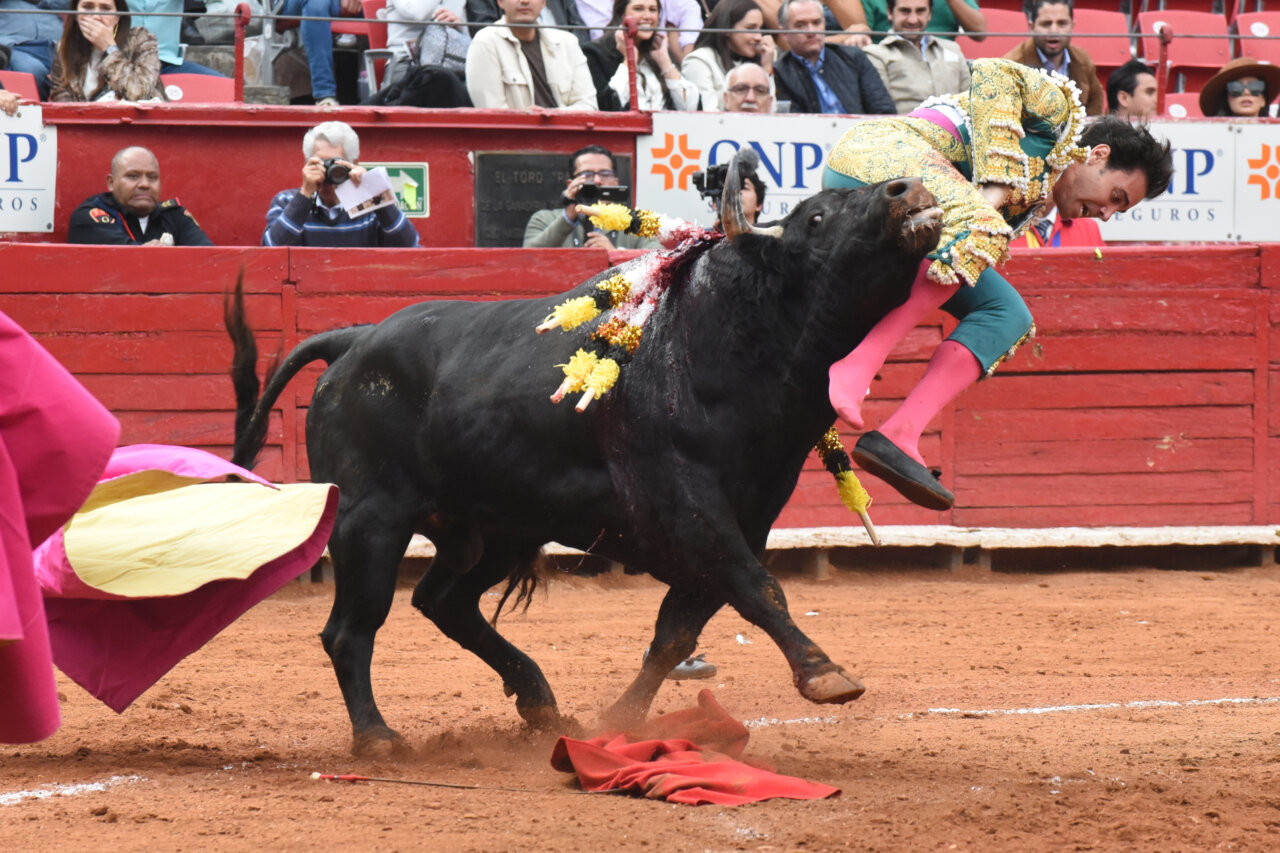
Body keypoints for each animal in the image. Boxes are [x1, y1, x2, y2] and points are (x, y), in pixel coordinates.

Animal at [226, 158, 943, 756]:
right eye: (817, 217)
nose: (908, 188)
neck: (730, 335)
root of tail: (354, 338)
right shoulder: (692, 506)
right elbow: (756, 588)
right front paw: (825, 674)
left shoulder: (750, 517)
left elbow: (679, 630)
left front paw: (620, 720)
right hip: (369, 522)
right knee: (352, 629)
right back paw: (378, 737)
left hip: (497, 529)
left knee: (444, 602)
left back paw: (541, 704)